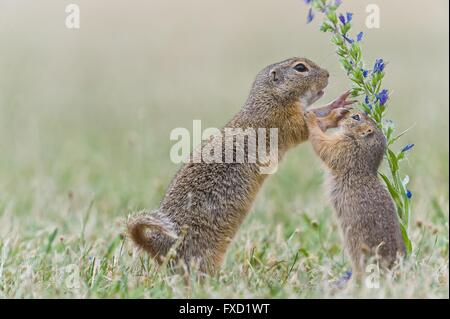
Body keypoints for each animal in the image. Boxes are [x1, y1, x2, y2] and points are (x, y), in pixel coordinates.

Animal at [128, 57, 354, 276]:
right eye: (300, 68)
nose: (327, 74)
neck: (269, 98)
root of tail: (159, 246)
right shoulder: (284, 120)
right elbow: (309, 125)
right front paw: (335, 115)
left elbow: (315, 112)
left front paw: (338, 102)